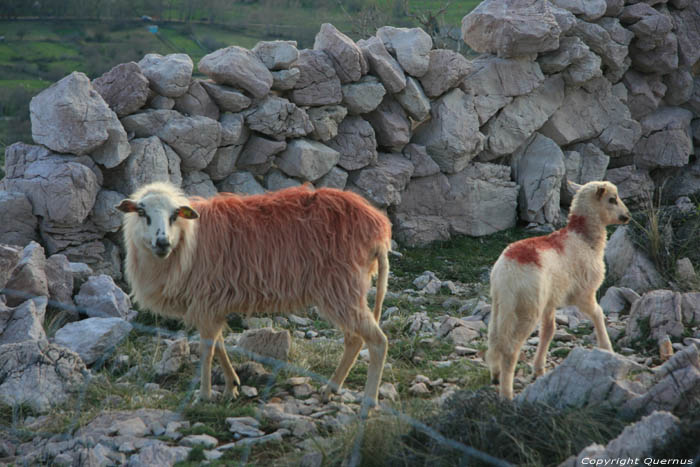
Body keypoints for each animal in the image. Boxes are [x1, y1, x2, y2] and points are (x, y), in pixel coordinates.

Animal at [119, 181, 394, 412]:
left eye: (175, 215)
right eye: (142, 213)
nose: (162, 242)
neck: (187, 242)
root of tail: (378, 226)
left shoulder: (205, 301)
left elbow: (207, 350)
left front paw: (204, 396)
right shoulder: (211, 304)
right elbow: (219, 343)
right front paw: (231, 385)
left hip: (342, 289)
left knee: (377, 341)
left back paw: (368, 403)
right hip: (343, 291)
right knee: (355, 339)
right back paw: (331, 389)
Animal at [486, 181, 628, 400]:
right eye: (612, 199)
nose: (627, 216)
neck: (583, 237)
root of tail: (508, 271)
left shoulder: (550, 302)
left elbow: (548, 331)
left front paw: (539, 368)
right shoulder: (583, 293)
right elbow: (598, 313)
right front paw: (606, 348)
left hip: (499, 305)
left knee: (494, 338)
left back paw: (495, 374)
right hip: (527, 308)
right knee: (510, 349)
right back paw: (507, 394)